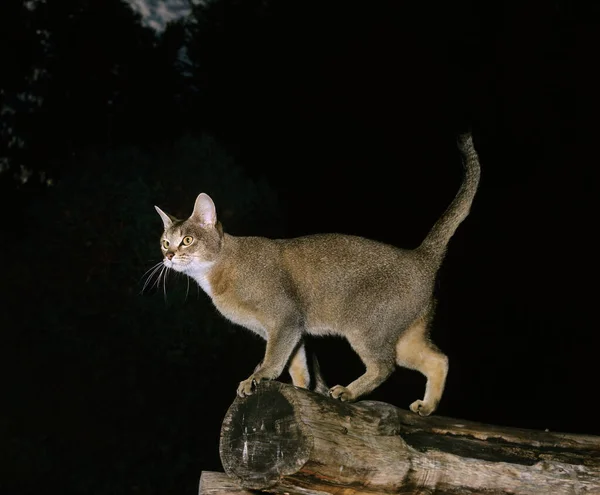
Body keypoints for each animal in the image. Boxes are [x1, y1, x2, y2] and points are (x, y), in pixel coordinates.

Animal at [156, 134, 482, 416]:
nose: (168, 256)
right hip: (404, 336)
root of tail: (420, 256)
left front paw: (257, 378)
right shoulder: (291, 329)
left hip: (365, 327)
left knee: (384, 366)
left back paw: (349, 392)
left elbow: (274, 359)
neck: (219, 270)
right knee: (438, 359)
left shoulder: (284, 318)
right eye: (164, 242)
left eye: (187, 240)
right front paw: (304, 393)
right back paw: (427, 406)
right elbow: (298, 365)